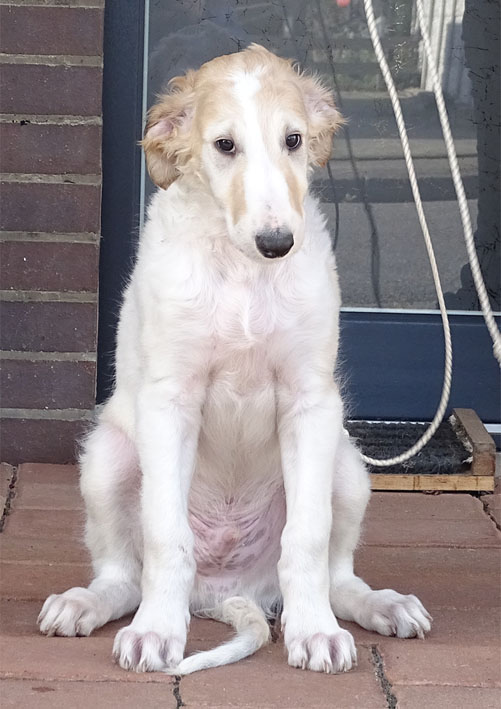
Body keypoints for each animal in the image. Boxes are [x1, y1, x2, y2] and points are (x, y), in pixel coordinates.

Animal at [38, 44, 431, 675]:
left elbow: (308, 536)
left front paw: (315, 632)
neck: (245, 272)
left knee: (338, 574)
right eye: (225, 145)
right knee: (124, 575)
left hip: (348, 467)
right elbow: (164, 533)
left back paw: (377, 605)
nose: (277, 243)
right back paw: (90, 603)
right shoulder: (170, 401)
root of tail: (225, 591)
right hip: (105, 460)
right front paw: (157, 631)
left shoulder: (311, 401)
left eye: (293, 139)